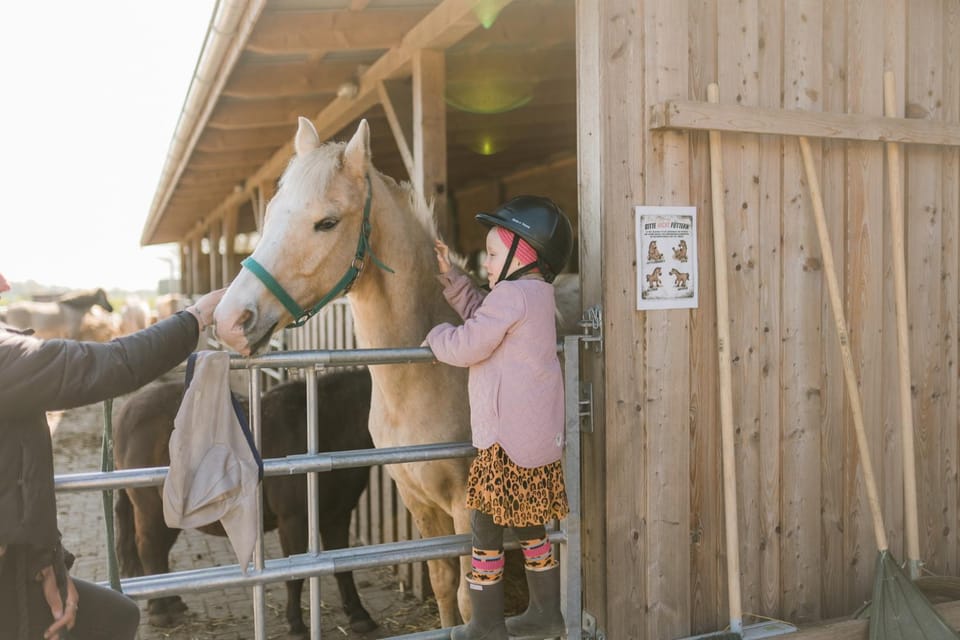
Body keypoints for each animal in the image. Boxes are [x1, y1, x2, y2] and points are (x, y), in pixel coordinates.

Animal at [113, 368, 377, 636]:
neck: (324, 429)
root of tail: (128, 411)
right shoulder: (293, 522)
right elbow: (295, 577)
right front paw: (296, 624)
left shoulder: (338, 516)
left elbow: (344, 568)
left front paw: (359, 616)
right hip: (151, 510)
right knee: (150, 548)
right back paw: (160, 610)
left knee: (159, 552)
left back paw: (173, 602)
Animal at [214, 117, 476, 627]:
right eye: (269, 215)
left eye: (327, 222)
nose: (231, 319)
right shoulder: (419, 501)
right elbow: (442, 584)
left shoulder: (472, 508)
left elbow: (470, 601)